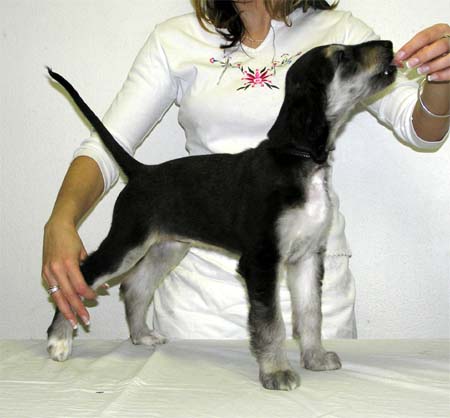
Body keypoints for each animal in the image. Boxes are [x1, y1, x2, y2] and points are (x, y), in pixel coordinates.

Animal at [47, 40, 397, 390]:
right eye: (342, 56)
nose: (389, 45)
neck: (297, 158)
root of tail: (141, 171)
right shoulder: (262, 260)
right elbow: (271, 322)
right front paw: (276, 372)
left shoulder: (308, 257)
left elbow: (311, 313)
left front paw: (315, 358)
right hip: (126, 243)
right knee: (84, 275)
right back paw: (59, 341)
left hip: (167, 247)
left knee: (135, 286)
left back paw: (142, 335)